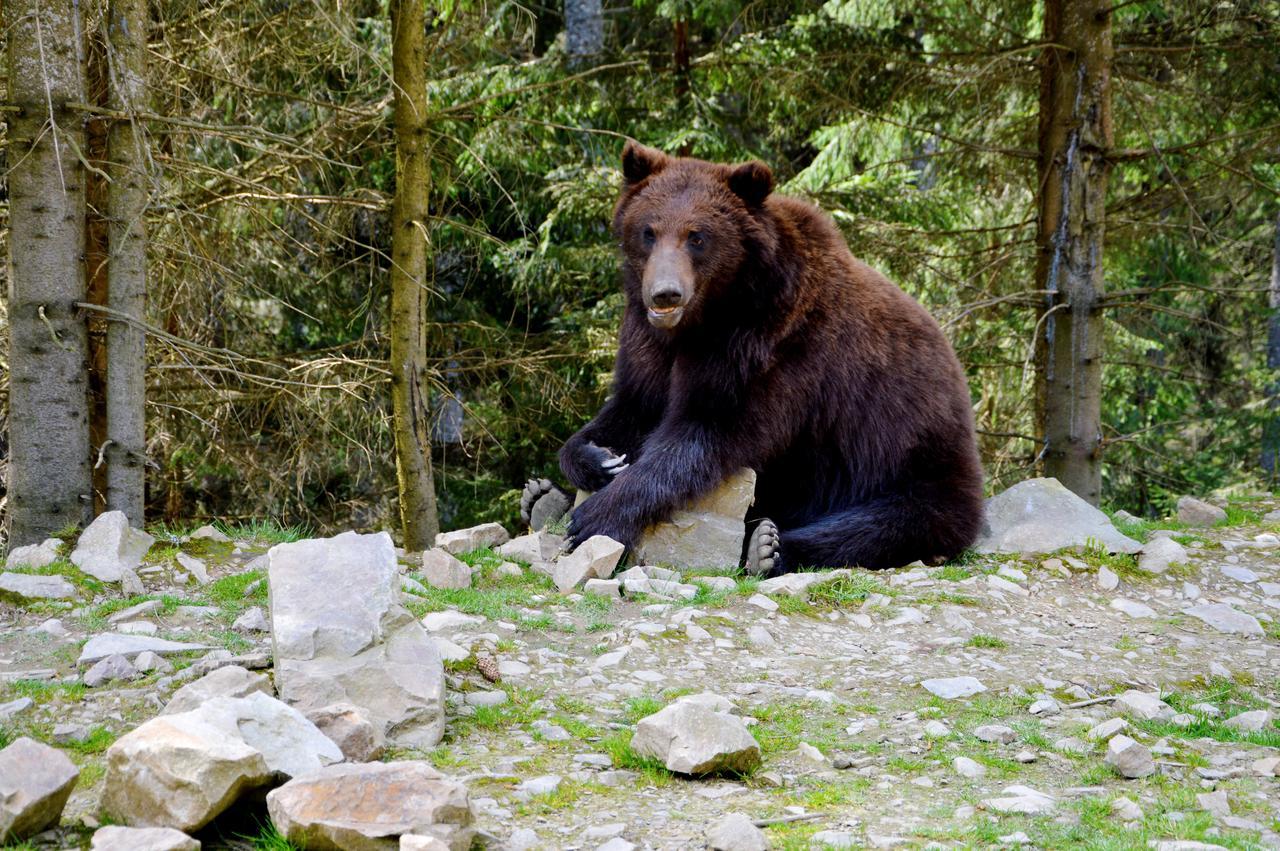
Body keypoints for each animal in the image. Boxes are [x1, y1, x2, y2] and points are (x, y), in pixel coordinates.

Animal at [535, 142, 983, 573]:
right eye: (649, 231)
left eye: (697, 236)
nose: (665, 293)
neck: (705, 317)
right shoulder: (647, 345)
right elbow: (629, 408)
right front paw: (598, 459)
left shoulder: (771, 346)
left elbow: (706, 430)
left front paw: (595, 516)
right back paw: (541, 497)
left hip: (908, 455)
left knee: (890, 522)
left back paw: (768, 547)